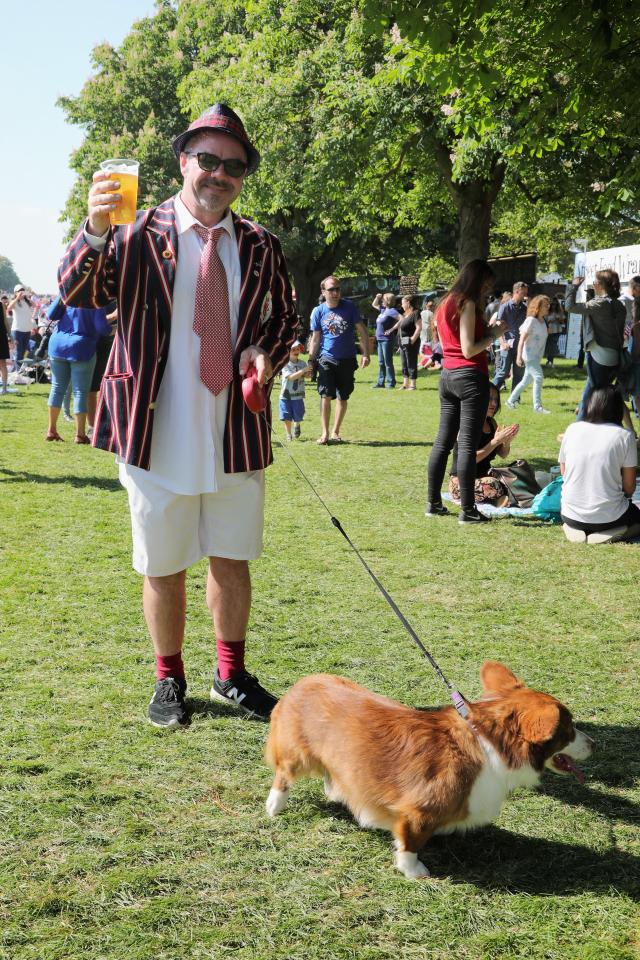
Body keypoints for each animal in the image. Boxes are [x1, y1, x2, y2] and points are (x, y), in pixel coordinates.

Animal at [264, 664, 592, 880]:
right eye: (568, 730)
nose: (594, 743)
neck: (488, 741)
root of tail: (303, 682)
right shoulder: (418, 812)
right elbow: (411, 842)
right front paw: (414, 870)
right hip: (295, 755)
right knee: (283, 775)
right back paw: (274, 806)